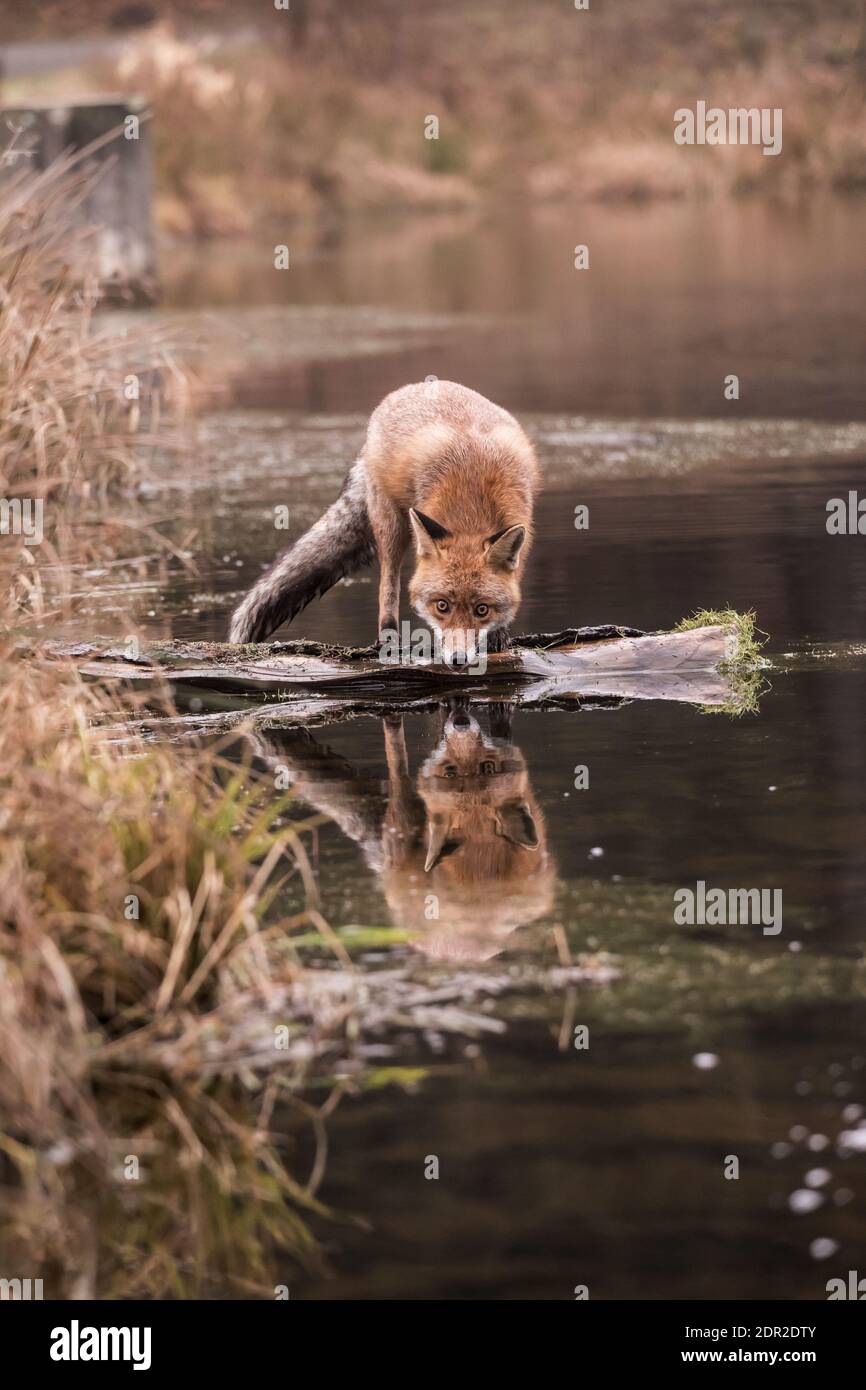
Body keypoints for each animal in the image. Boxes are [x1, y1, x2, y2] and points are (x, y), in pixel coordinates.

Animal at [226, 378, 539, 664]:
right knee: (387, 584)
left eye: (482, 609)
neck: (471, 505)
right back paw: (388, 638)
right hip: (392, 525)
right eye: (442, 606)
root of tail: (415, 385)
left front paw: (498, 635)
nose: (458, 659)